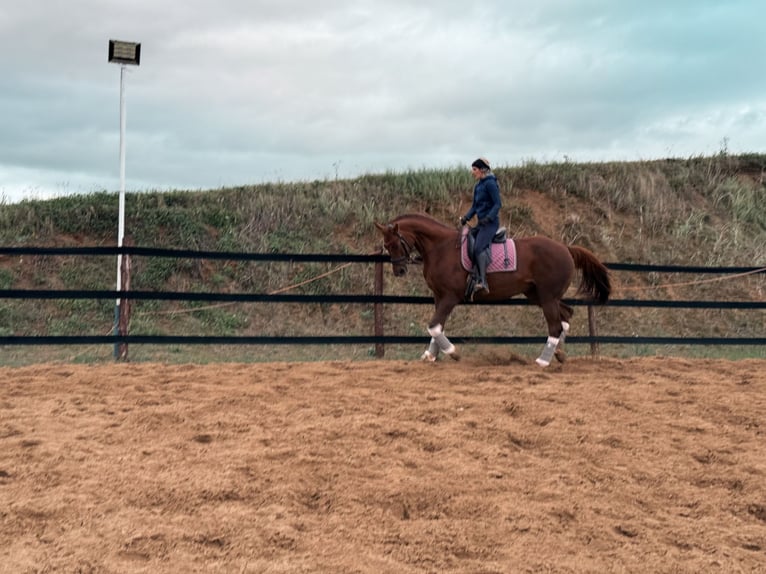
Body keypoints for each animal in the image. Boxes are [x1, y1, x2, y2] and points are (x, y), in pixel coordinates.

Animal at [375, 213, 611, 367]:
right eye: (386, 246)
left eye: (394, 244)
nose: (399, 270)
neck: (440, 248)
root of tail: (565, 248)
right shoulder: (438, 296)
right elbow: (437, 326)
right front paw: (430, 355)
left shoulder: (450, 297)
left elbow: (434, 326)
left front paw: (453, 353)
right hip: (538, 295)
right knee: (565, 316)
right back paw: (559, 354)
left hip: (547, 297)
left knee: (555, 325)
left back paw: (543, 361)